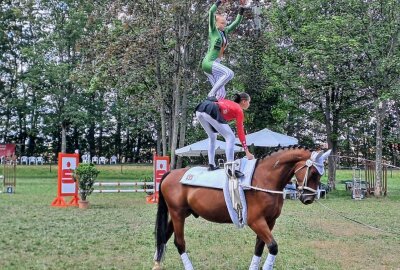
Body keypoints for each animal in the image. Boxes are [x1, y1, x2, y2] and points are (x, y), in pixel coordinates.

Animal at [153, 148, 332, 270]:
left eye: (320, 174)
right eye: (313, 172)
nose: (308, 199)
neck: (264, 179)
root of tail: (170, 174)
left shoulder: (269, 222)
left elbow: (259, 247)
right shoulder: (256, 221)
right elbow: (273, 246)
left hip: (180, 214)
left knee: (164, 237)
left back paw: (156, 264)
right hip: (177, 214)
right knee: (179, 242)